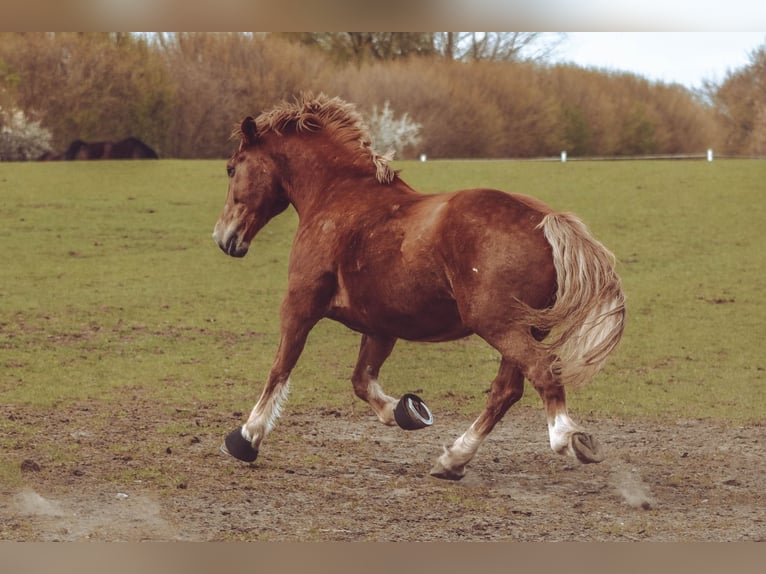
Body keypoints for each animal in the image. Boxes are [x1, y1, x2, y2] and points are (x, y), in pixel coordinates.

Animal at [213, 93, 625, 480]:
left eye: (231, 168)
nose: (223, 237)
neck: (337, 194)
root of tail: (548, 221)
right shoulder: (380, 326)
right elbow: (361, 381)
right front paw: (406, 411)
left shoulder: (300, 303)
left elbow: (280, 368)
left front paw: (246, 438)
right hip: (525, 329)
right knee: (506, 392)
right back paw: (453, 460)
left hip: (499, 324)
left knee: (543, 370)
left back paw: (567, 438)